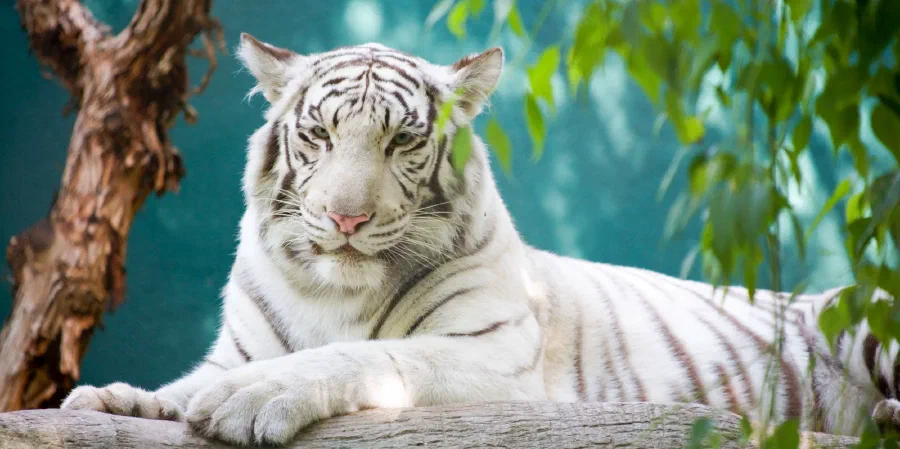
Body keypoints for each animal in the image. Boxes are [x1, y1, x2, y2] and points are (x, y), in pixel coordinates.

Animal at [61, 33, 900, 446]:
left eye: (401, 140)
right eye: (320, 134)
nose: (345, 219)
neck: (330, 291)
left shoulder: (495, 356)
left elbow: (363, 354)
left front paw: (253, 398)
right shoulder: (233, 346)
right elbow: (180, 386)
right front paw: (111, 399)